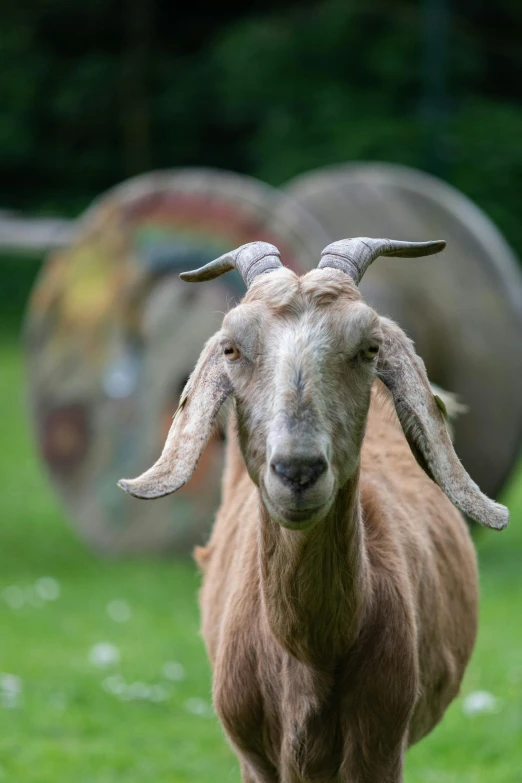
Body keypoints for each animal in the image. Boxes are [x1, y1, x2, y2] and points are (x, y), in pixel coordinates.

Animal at [118, 239, 504, 783]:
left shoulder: (381, 747)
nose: (297, 469)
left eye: (369, 349)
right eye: (231, 349)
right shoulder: (254, 757)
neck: (308, 651)